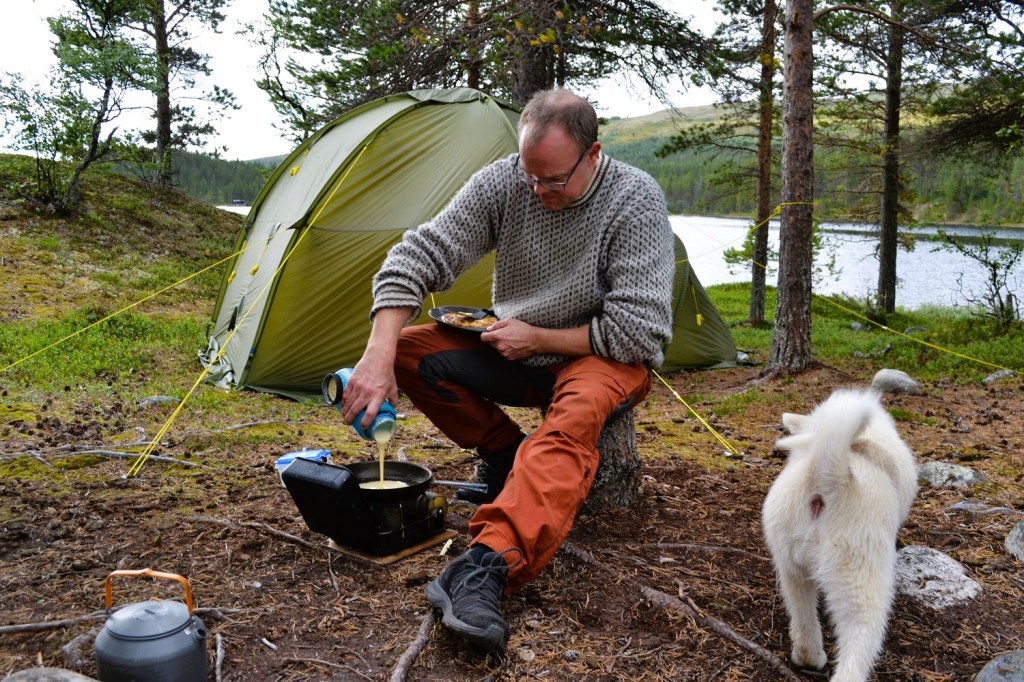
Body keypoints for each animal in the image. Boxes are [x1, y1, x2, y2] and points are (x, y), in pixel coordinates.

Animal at [762, 388, 918, 681]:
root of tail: (829, 477)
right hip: (859, 577)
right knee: (857, 647)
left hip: (789, 563)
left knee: (802, 612)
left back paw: (809, 657)